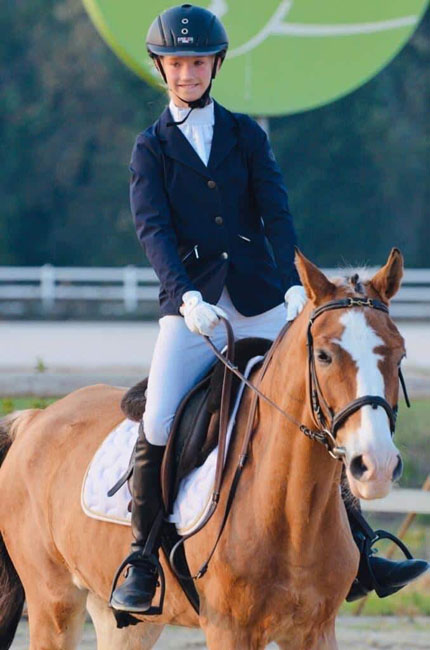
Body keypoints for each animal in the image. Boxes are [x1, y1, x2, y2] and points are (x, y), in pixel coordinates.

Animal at [0, 248, 406, 650]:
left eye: (399, 354)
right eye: (323, 355)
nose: (377, 466)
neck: (289, 510)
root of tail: (35, 420)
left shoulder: (315, 630)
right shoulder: (230, 631)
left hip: (124, 619)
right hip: (53, 603)